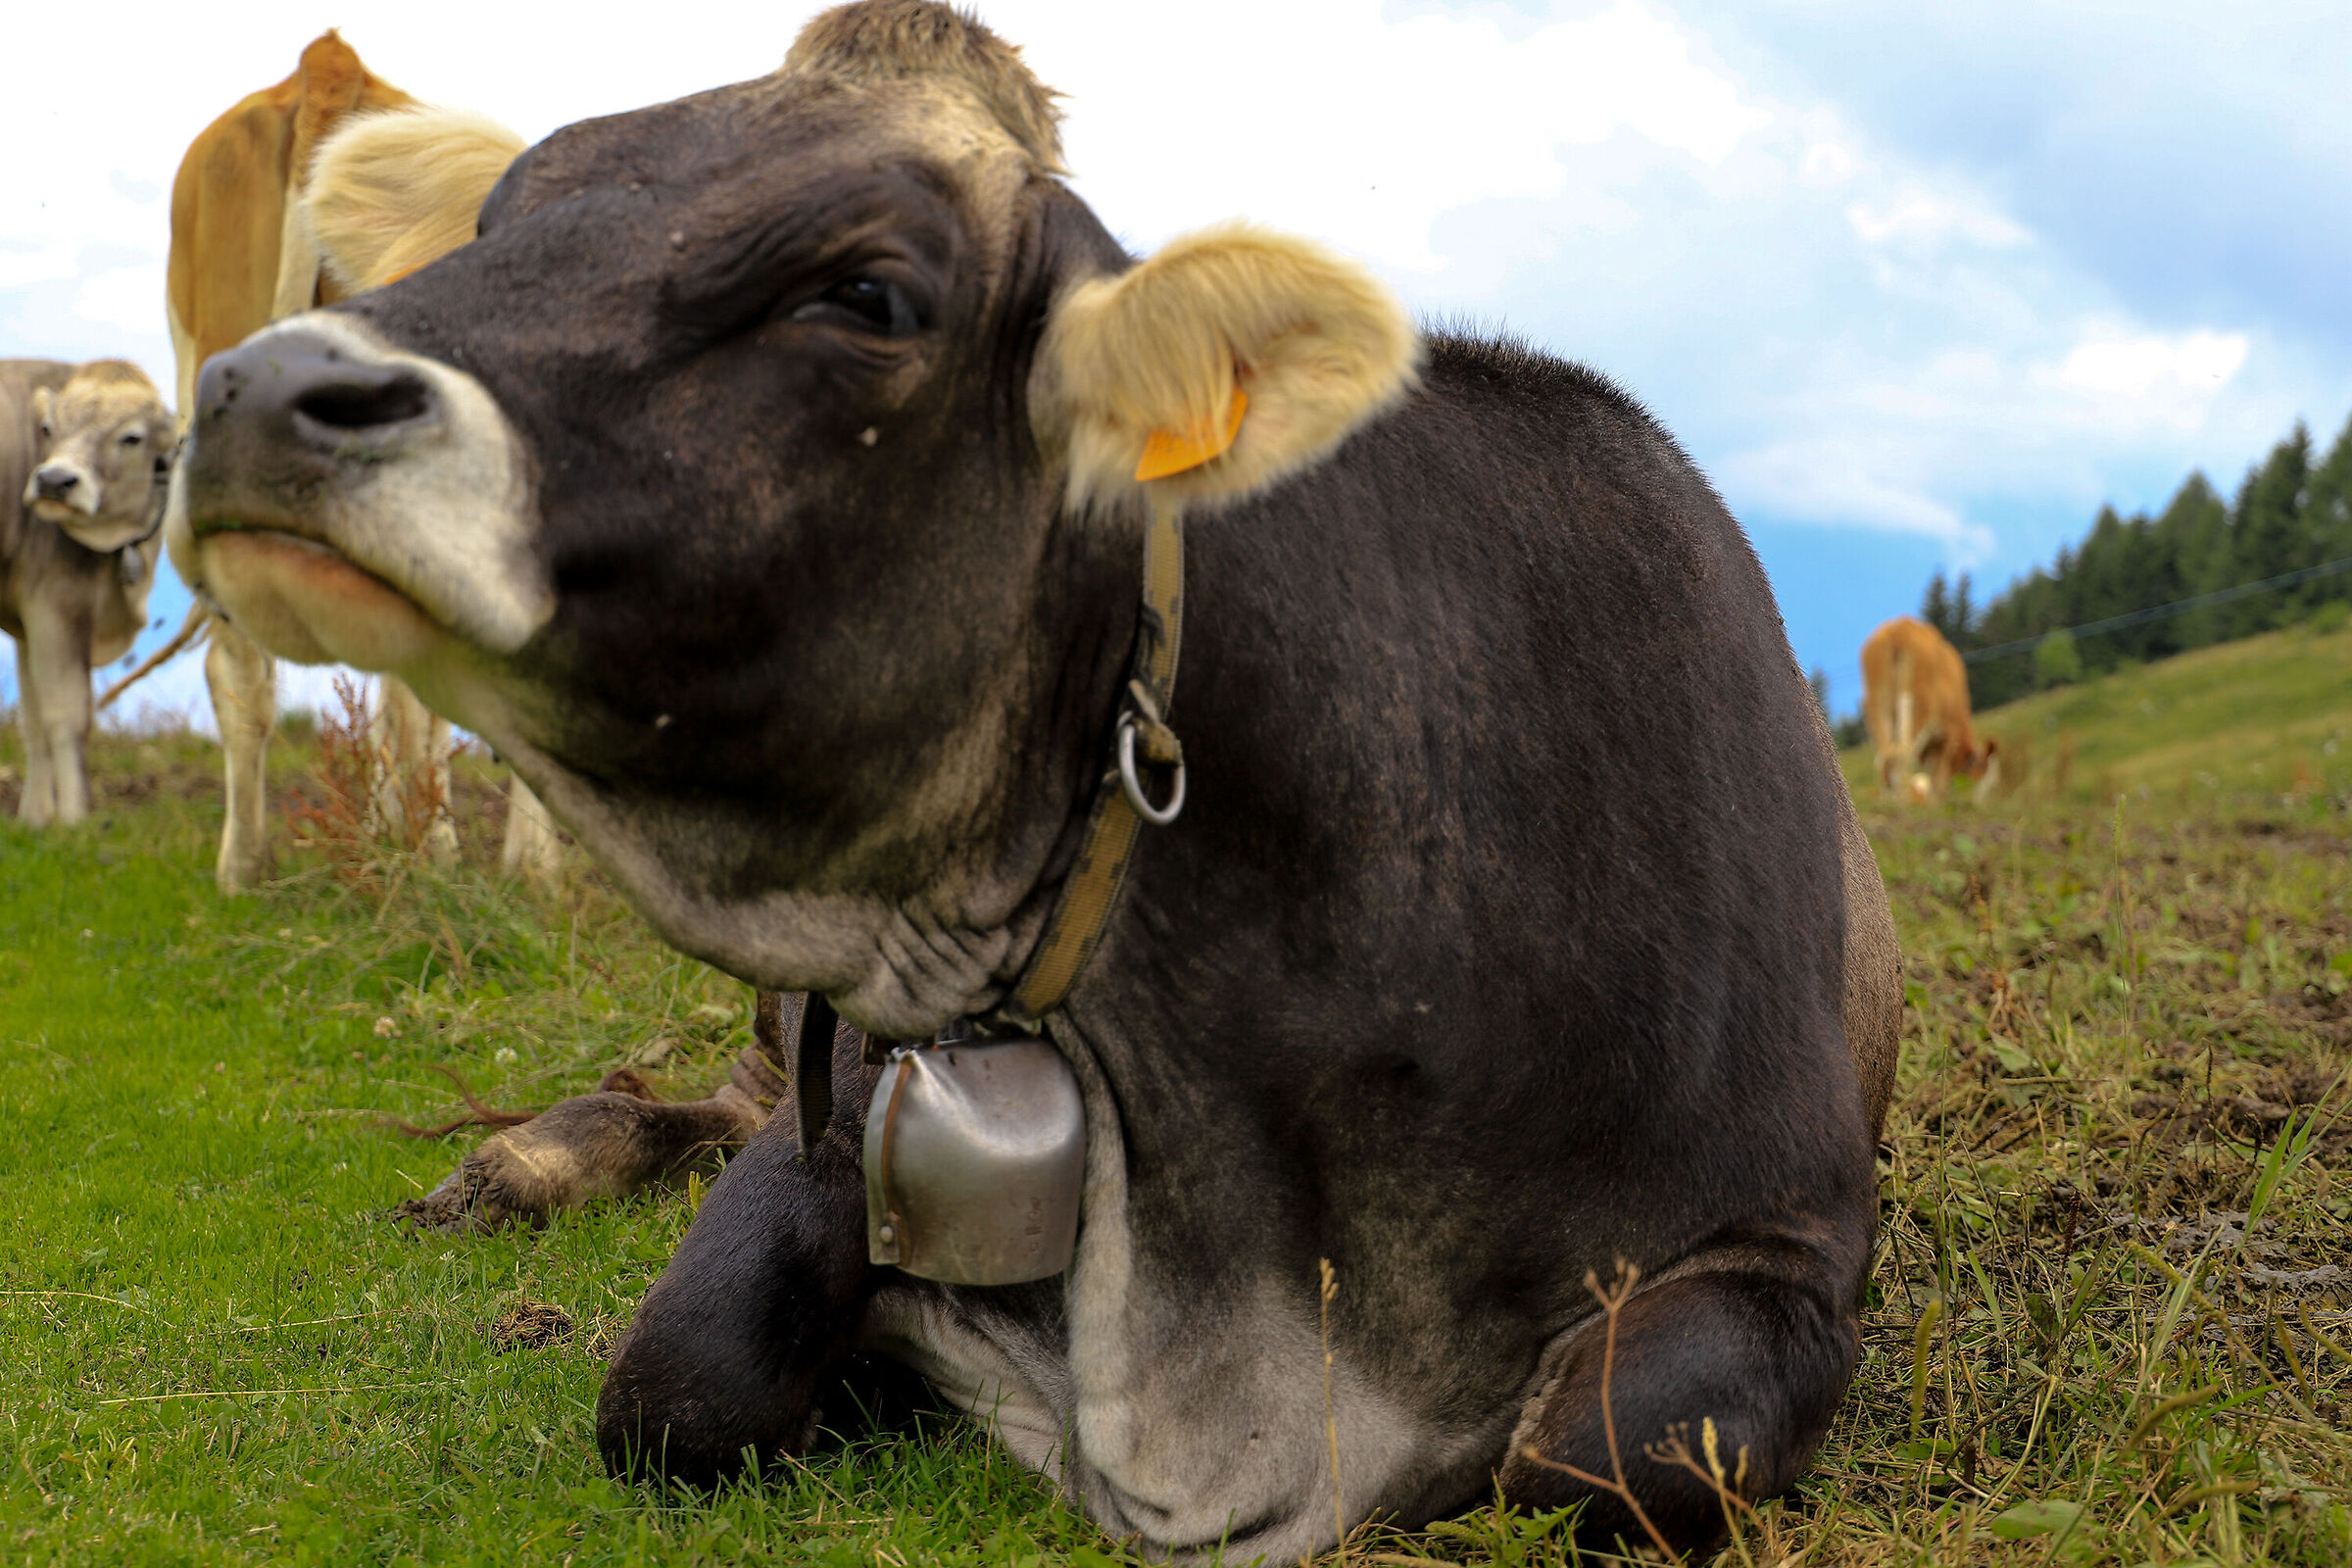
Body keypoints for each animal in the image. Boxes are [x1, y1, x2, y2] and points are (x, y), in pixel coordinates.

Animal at [2, 361, 175, 826]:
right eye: (48, 427)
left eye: (131, 437)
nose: (54, 481)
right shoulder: (58, 601)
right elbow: (67, 712)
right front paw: (76, 818)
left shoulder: (27, 616)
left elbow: (34, 715)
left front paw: (35, 819)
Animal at [1860, 615, 1999, 803]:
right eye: (1985, 778)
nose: (1983, 804)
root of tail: (1899, 628)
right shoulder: (1946, 736)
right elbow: (1939, 780)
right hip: (1918, 705)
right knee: (1902, 755)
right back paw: (1904, 804)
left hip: (1877, 703)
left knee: (1885, 757)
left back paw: (1889, 803)